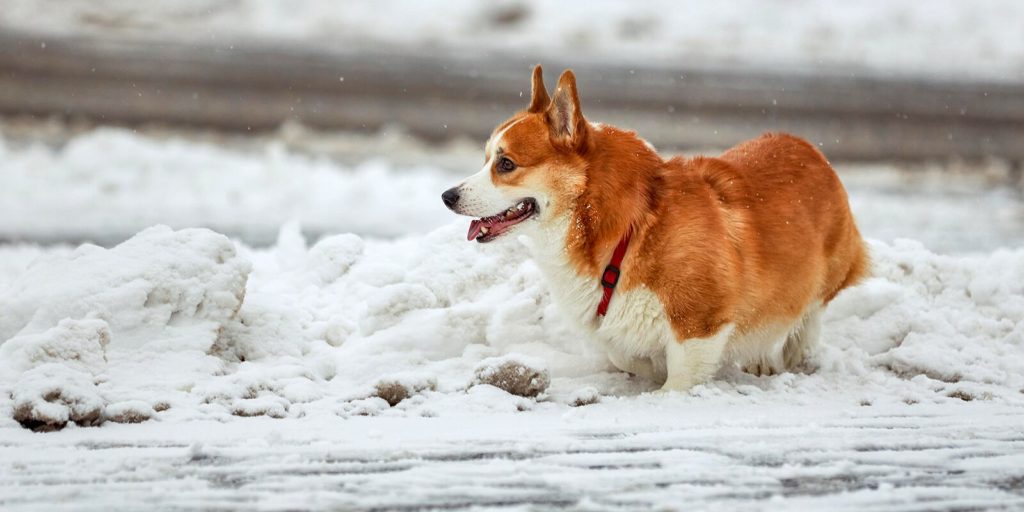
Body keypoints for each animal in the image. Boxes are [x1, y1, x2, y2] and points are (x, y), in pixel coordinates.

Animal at [440, 65, 864, 391]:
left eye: (506, 164)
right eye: (485, 159)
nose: (447, 196)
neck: (626, 227)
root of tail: (810, 147)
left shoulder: (699, 322)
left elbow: (679, 379)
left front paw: (664, 390)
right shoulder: (614, 323)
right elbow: (624, 353)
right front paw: (649, 367)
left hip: (824, 274)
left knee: (808, 314)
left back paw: (791, 353)